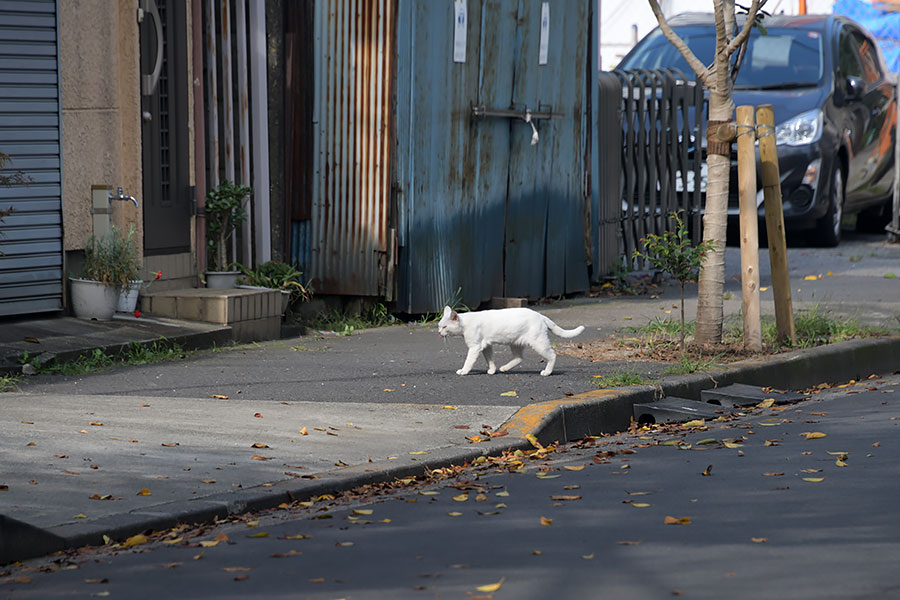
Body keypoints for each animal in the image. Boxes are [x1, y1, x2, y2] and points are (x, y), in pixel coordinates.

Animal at [436, 308, 584, 378]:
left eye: (444, 327)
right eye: (439, 326)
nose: (439, 333)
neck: (466, 323)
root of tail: (540, 315)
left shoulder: (474, 347)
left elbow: (469, 361)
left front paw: (464, 371)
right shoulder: (486, 346)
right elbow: (490, 359)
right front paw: (492, 370)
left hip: (538, 343)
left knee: (552, 355)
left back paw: (547, 372)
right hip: (516, 343)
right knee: (519, 358)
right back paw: (504, 368)